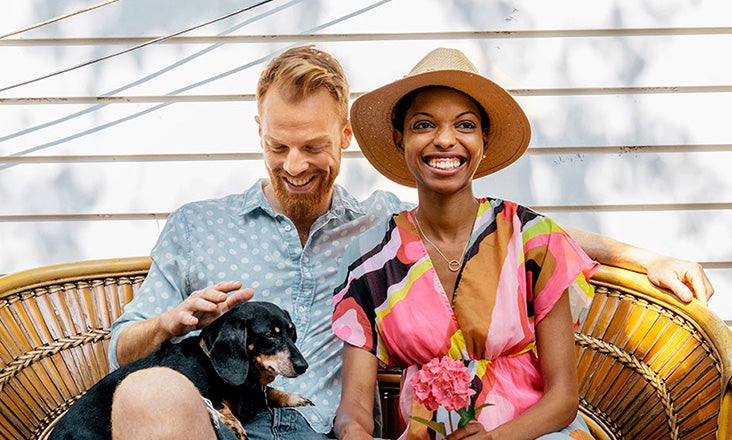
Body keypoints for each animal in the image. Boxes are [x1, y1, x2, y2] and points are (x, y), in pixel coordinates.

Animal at [48, 300, 312, 438]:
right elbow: (219, 405)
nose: (303, 366)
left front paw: (294, 397)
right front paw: (233, 424)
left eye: (292, 333)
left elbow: (271, 393)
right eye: (269, 335)